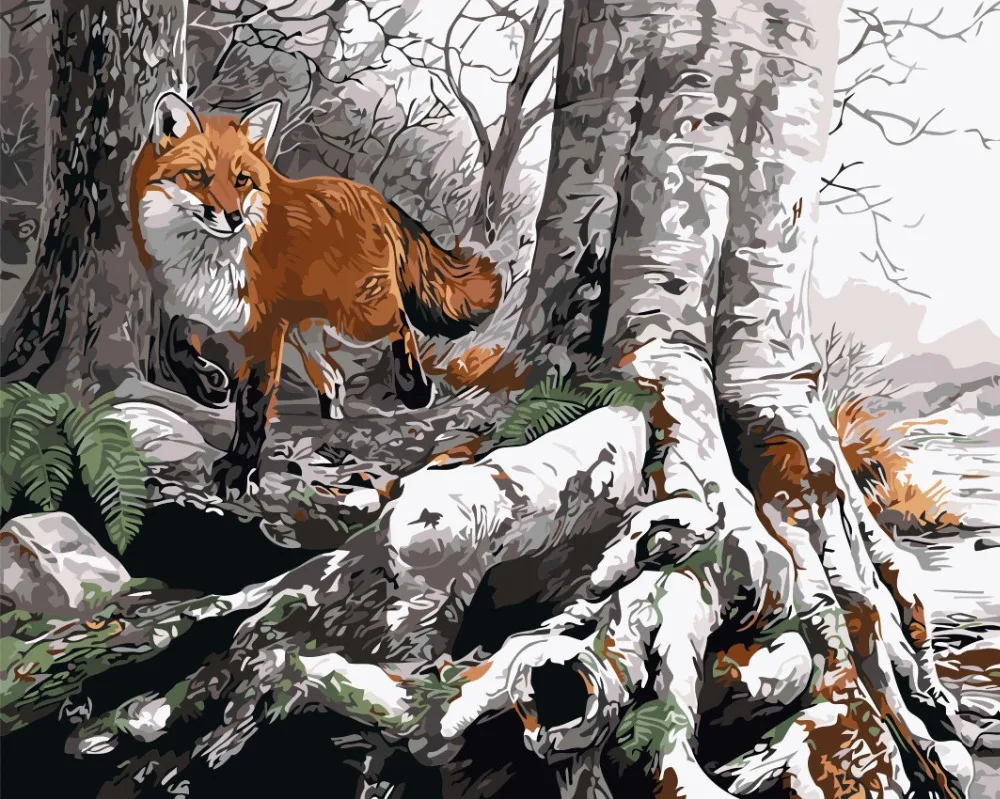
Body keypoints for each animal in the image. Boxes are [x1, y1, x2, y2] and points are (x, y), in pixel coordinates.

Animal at [130, 91, 502, 496]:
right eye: (198, 176)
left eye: (242, 180)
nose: (234, 218)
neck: (207, 263)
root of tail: (374, 197)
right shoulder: (187, 305)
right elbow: (173, 348)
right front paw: (208, 386)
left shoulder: (264, 330)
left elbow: (253, 402)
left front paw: (239, 467)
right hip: (304, 333)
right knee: (334, 379)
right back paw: (331, 427)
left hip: (355, 320)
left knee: (400, 323)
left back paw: (414, 389)